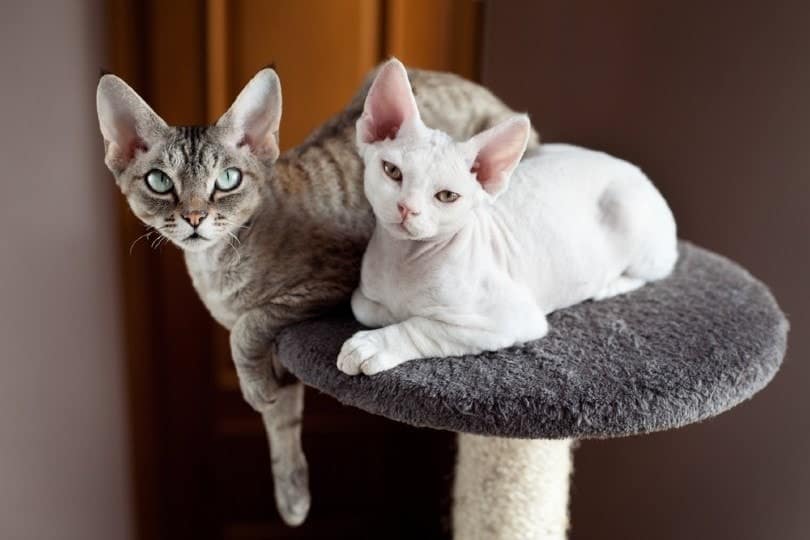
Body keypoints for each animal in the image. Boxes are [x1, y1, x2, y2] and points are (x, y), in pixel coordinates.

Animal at [96, 65, 536, 524]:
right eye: (160, 182)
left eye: (228, 180)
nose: (195, 217)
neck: (216, 268)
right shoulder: (282, 357)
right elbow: (281, 419)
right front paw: (290, 490)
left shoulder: (331, 283)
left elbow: (249, 326)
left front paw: (252, 387)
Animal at [334, 60, 676, 376]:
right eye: (392, 171)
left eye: (446, 197)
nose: (407, 208)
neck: (403, 259)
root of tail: (632, 169)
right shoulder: (364, 295)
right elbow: (366, 307)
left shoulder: (510, 319)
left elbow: (423, 326)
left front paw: (372, 344)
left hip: (631, 217)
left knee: (652, 271)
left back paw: (608, 284)